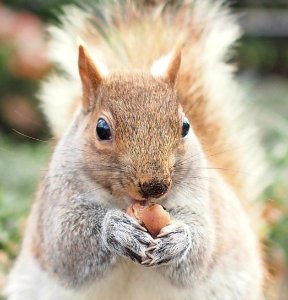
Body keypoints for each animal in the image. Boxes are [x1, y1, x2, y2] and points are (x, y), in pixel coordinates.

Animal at [4, 0, 266, 300]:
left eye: (185, 126)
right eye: (101, 129)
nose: (155, 186)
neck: (125, 202)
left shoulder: (203, 199)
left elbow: (203, 247)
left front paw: (179, 239)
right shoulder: (57, 202)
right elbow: (67, 246)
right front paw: (115, 230)